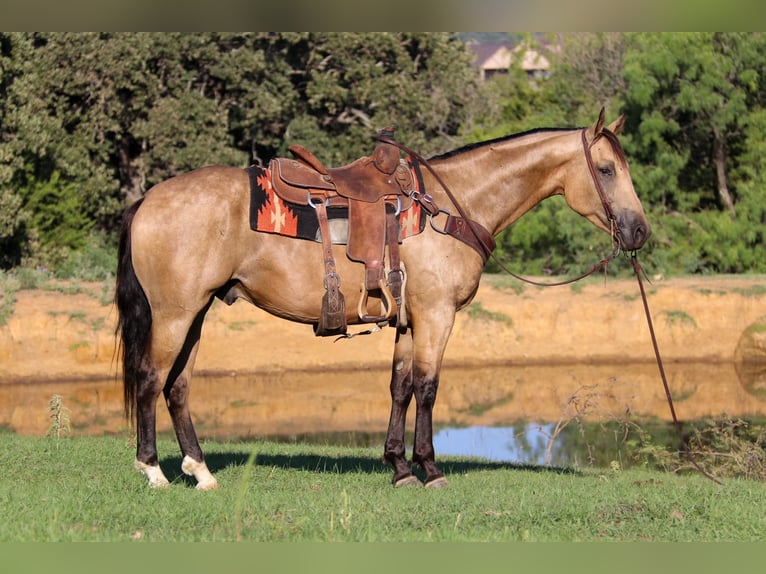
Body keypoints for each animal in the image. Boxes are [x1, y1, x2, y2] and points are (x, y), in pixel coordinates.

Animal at [117, 111, 652, 490]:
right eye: (606, 170)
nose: (639, 231)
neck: (449, 208)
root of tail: (147, 199)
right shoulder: (437, 316)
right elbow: (428, 388)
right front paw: (430, 469)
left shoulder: (410, 321)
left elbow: (401, 387)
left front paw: (399, 466)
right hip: (175, 314)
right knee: (151, 378)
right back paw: (153, 471)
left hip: (196, 314)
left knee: (178, 386)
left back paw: (201, 472)